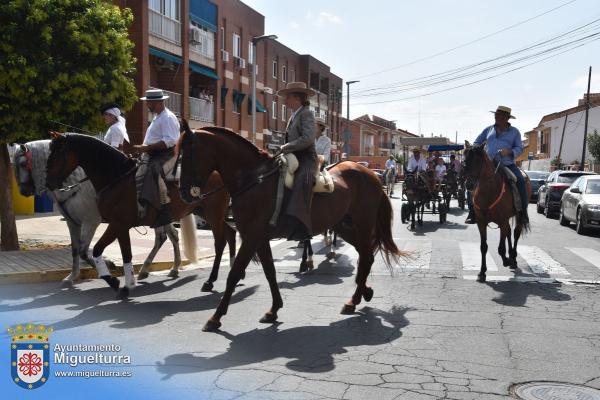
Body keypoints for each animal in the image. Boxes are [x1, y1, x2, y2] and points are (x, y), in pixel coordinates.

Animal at [12, 141, 191, 288]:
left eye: (22, 163)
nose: (23, 191)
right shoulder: (72, 222)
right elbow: (75, 250)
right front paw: (72, 276)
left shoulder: (91, 222)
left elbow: (84, 251)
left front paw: (108, 267)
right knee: (169, 236)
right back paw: (160, 268)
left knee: (165, 237)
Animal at [45, 134, 234, 296]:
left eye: (57, 155)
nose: (48, 183)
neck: (117, 179)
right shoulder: (118, 227)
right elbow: (124, 254)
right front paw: (125, 284)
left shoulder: (112, 224)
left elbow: (97, 249)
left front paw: (115, 280)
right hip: (207, 213)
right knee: (230, 232)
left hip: (213, 215)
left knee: (220, 242)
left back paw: (210, 281)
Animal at [178, 125, 404, 332]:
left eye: (187, 155)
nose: (184, 193)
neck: (254, 180)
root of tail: (372, 175)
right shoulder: (260, 238)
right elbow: (270, 272)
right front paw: (273, 310)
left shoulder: (252, 236)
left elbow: (234, 274)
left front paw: (215, 317)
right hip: (344, 226)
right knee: (366, 256)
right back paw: (362, 293)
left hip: (362, 225)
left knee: (366, 257)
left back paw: (353, 300)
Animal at [462, 142, 532, 282]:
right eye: (465, 160)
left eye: (478, 160)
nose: (469, 185)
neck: (489, 191)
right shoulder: (481, 223)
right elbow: (483, 247)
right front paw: (482, 272)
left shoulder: (502, 221)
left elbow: (500, 248)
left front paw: (506, 260)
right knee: (508, 233)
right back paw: (511, 257)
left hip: (518, 216)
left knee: (516, 233)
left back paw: (513, 259)